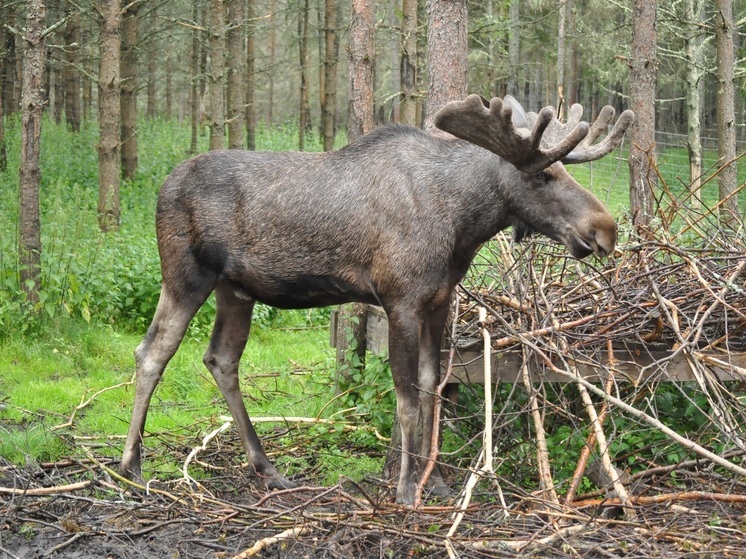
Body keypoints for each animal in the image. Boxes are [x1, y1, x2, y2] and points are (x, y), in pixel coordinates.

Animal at [119, 94, 632, 506]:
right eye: (543, 175)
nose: (605, 229)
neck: (462, 224)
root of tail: (162, 187)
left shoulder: (438, 300)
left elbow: (433, 386)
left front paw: (436, 481)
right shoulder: (399, 298)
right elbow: (405, 398)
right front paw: (405, 488)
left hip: (235, 290)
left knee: (221, 358)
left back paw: (266, 467)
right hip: (186, 275)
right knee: (152, 352)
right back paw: (131, 466)